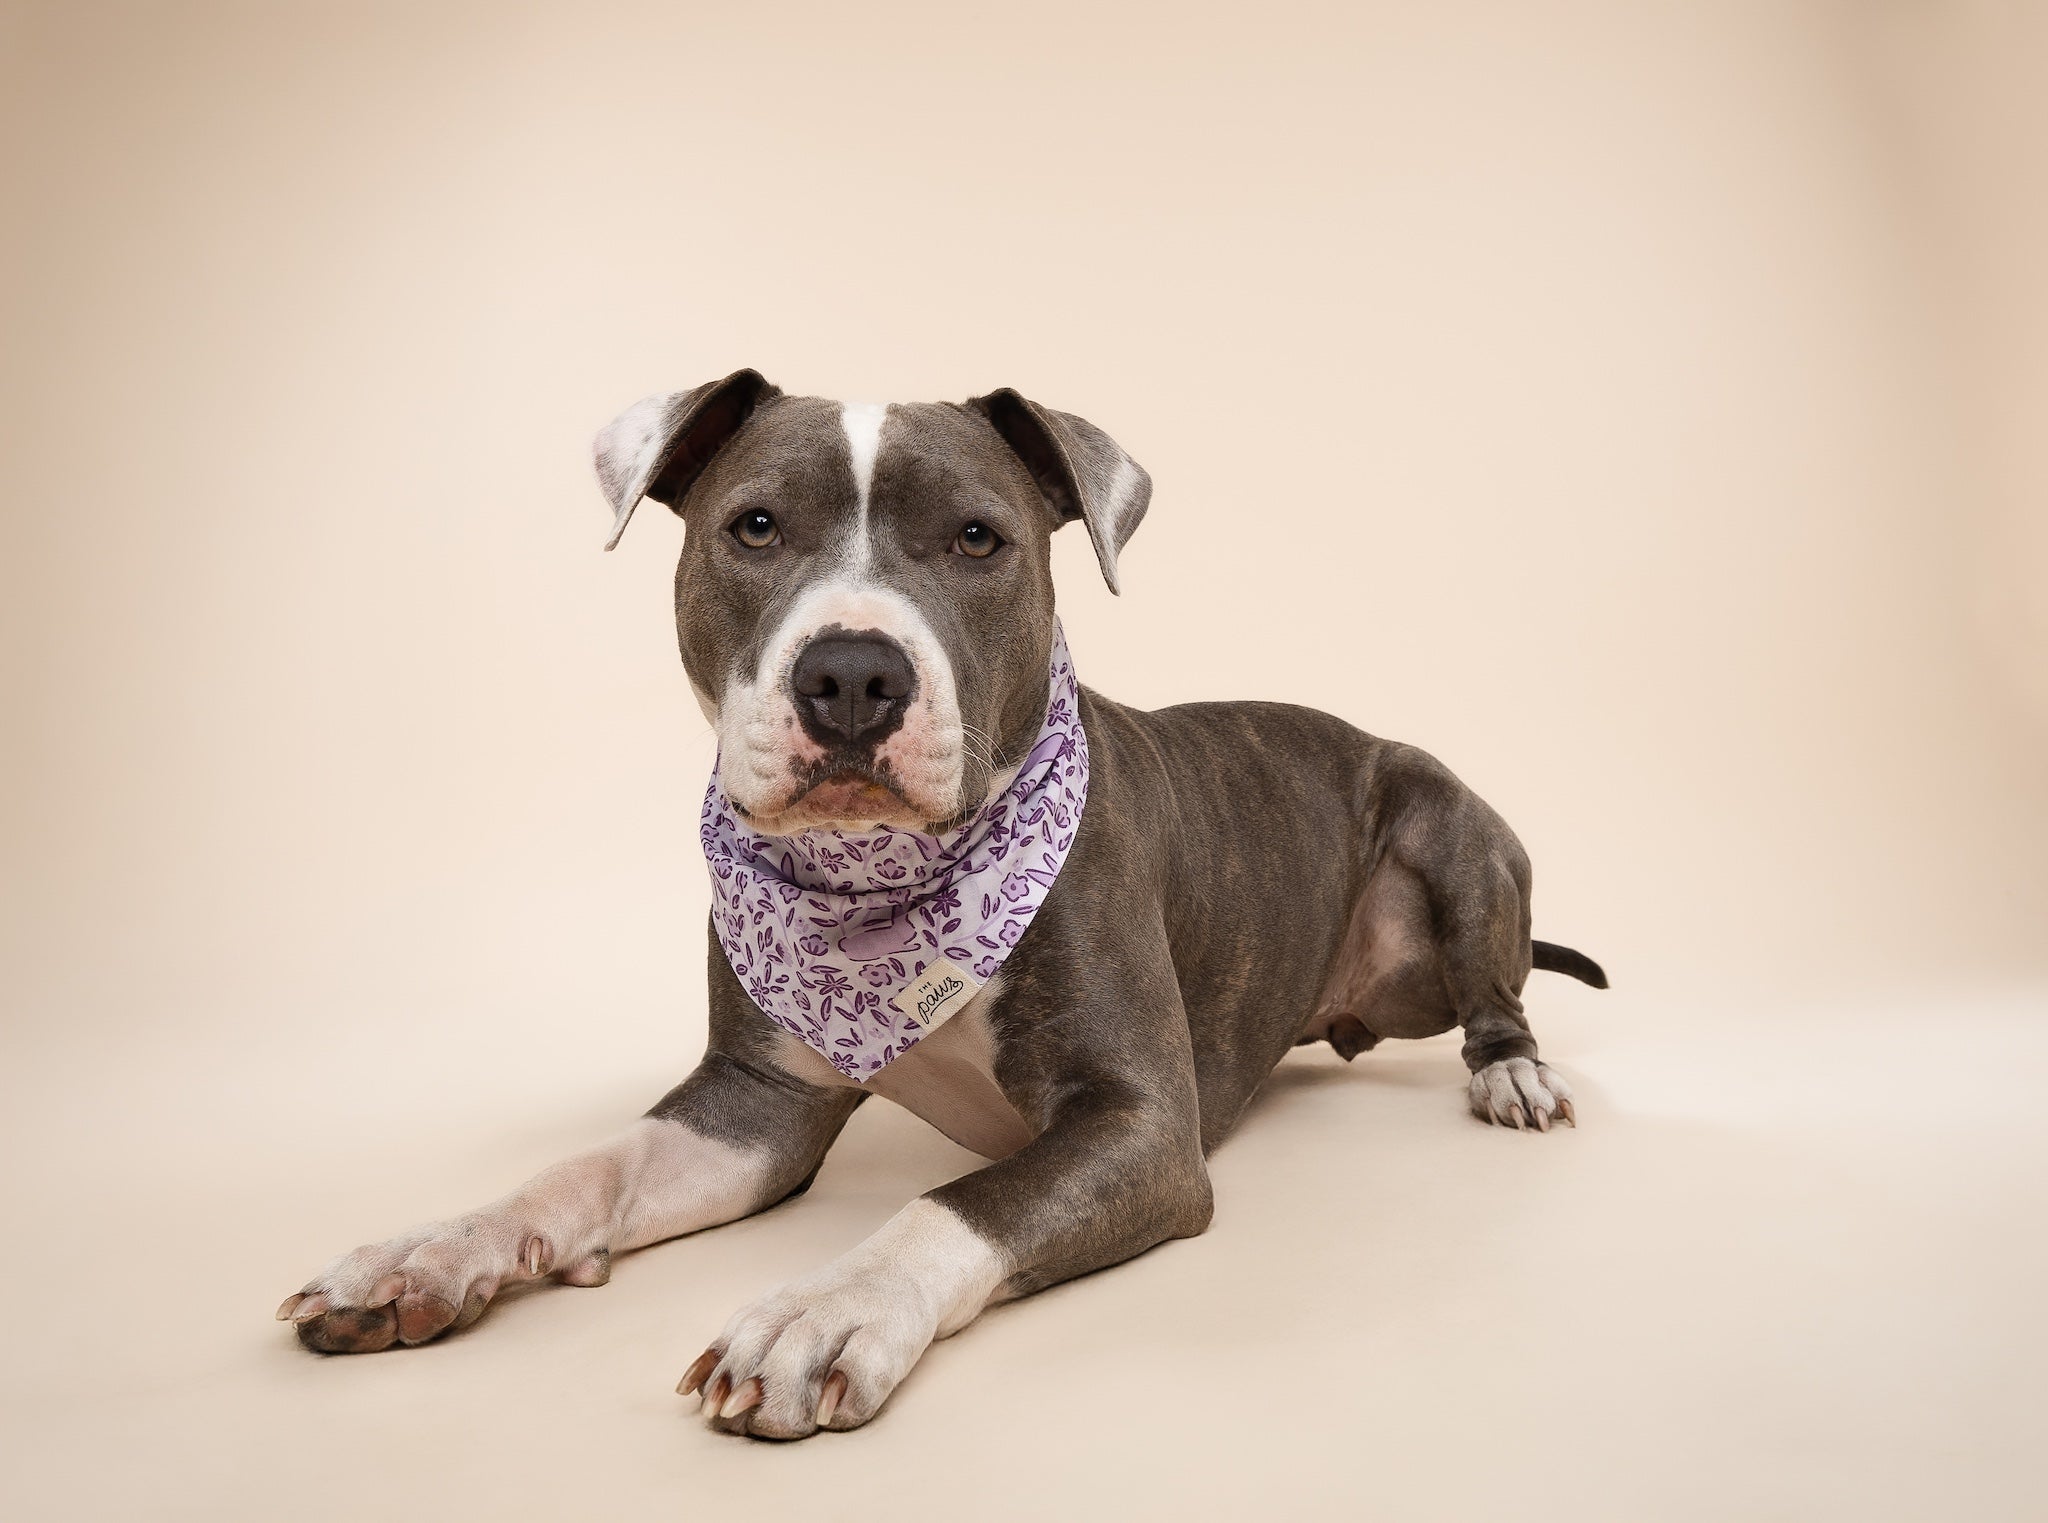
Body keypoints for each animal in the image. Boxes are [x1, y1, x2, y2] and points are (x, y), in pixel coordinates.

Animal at [276, 372, 1597, 1441]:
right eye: (753, 525)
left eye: (977, 538)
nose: (853, 672)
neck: (881, 877)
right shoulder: (750, 1106)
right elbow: (580, 1170)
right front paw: (427, 1250)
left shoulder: (1139, 1126)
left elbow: (957, 1200)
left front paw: (820, 1309)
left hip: (1449, 827)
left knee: (1495, 983)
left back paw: (1512, 1073)